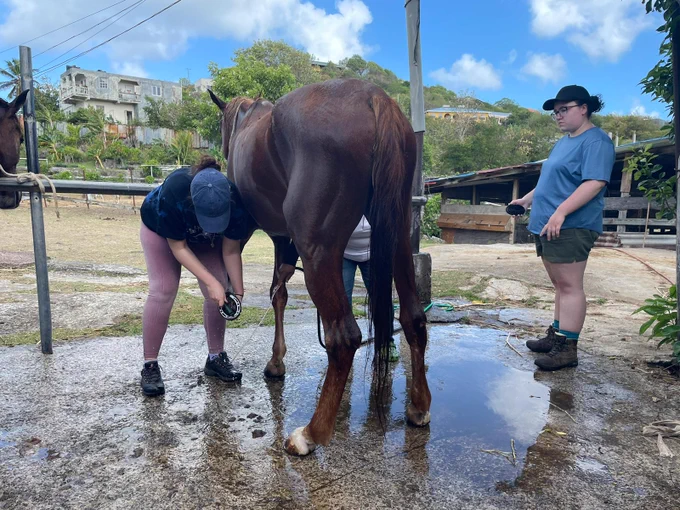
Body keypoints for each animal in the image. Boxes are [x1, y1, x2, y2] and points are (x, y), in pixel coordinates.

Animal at [209, 79, 431, 456]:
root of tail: (374, 97)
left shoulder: (257, 232)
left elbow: (272, 292)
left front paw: (274, 361)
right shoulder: (283, 239)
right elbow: (279, 293)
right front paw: (276, 361)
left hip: (318, 253)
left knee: (343, 338)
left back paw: (312, 433)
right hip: (397, 236)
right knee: (413, 318)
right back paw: (419, 407)